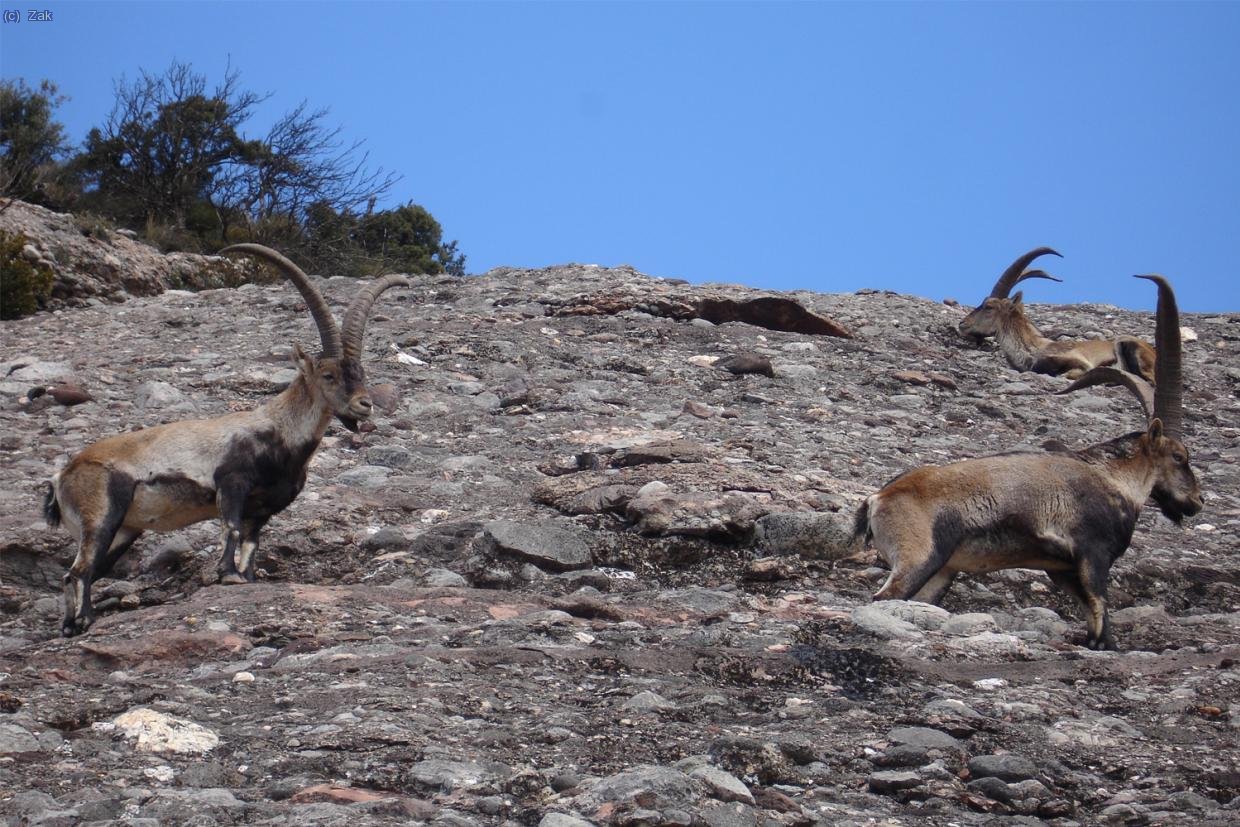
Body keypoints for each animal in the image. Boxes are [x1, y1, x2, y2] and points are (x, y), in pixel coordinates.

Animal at [43, 244, 408, 637]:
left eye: (361, 373)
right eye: (328, 375)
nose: (364, 405)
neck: (281, 432)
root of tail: (61, 476)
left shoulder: (262, 507)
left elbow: (251, 541)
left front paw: (246, 578)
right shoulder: (231, 482)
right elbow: (230, 529)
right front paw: (228, 576)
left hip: (124, 530)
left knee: (83, 572)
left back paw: (73, 624)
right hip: (101, 513)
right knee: (77, 571)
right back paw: (83, 620)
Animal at [855, 275, 1200, 650]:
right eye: (1180, 457)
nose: (1196, 502)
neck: (1114, 480)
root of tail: (879, 499)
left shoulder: (1062, 569)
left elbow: (1090, 616)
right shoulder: (1092, 555)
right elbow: (1101, 616)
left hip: (940, 571)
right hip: (919, 558)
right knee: (884, 597)